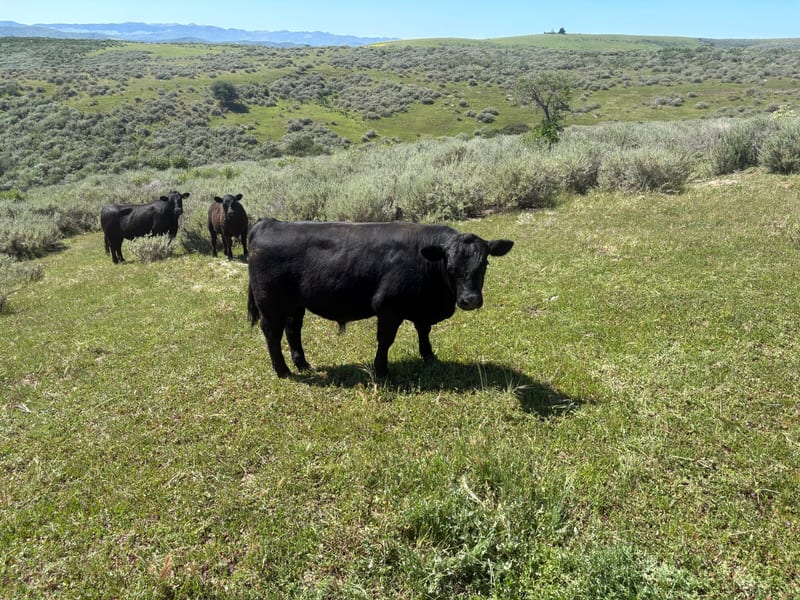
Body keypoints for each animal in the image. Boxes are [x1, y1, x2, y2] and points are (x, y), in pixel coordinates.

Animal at [246, 219, 513, 379]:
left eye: (484, 264)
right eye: (450, 267)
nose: (470, 300)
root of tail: (268, 223)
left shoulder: (420, 308)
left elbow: (423, 330)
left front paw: (429, 356)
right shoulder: (388, 307)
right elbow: (385, 340)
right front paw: (381, 370)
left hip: (295, 305)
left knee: (293, 329)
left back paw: (302, 364)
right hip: (271, 304)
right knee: (272, 332)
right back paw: (283, 371)